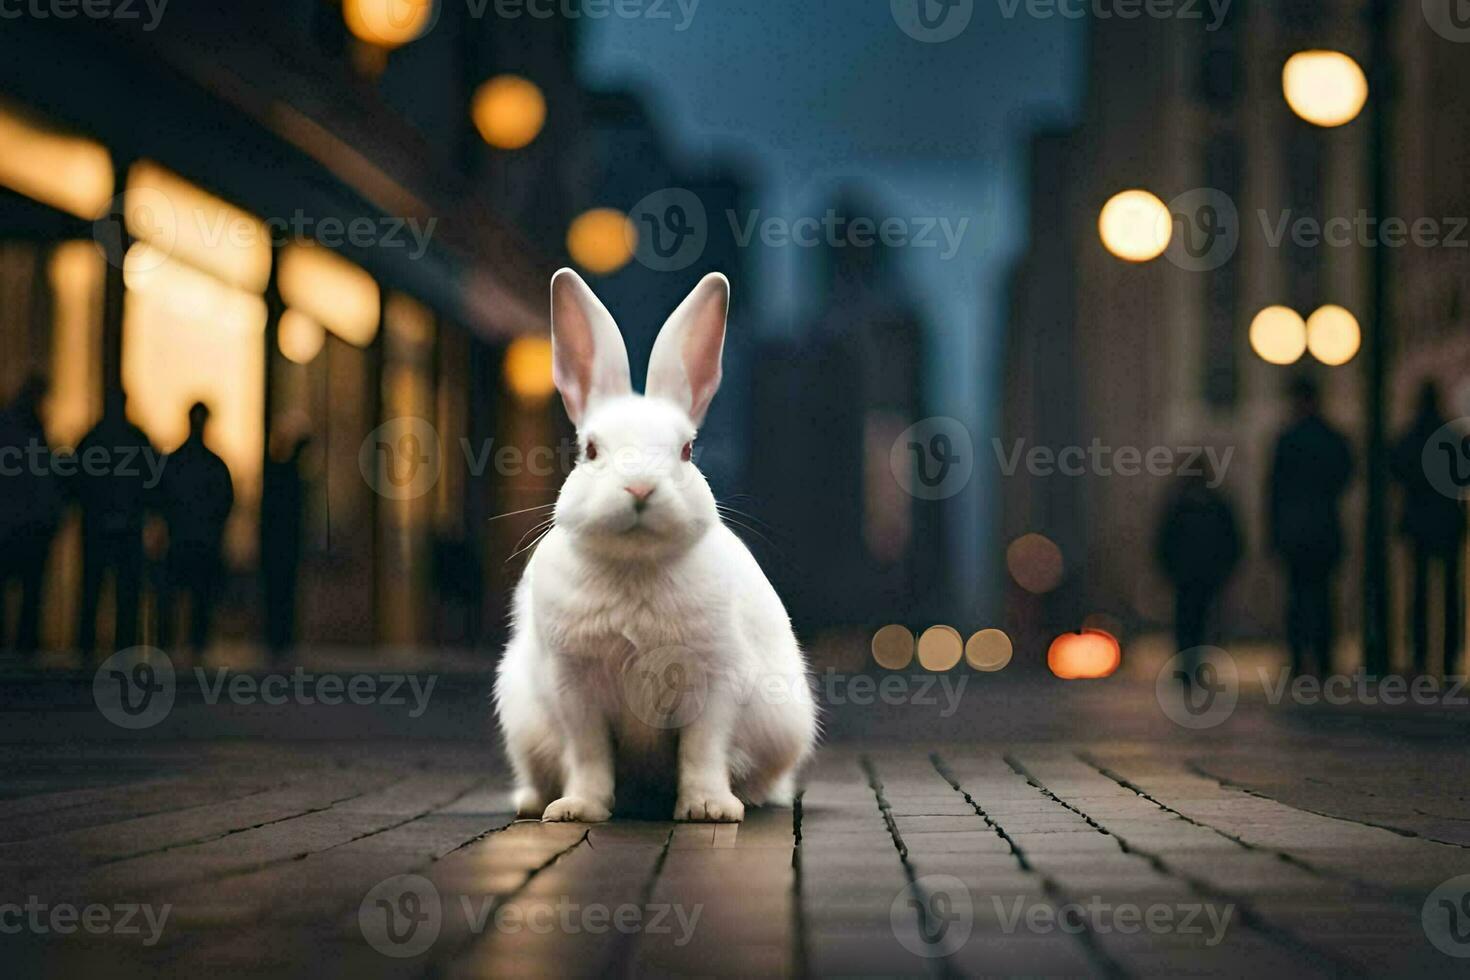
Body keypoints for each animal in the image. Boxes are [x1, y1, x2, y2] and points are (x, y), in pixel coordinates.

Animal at [493, 265, 817, 822]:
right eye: (590, 450)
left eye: (686, 451)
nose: (640, 487)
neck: (635, 563)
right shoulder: (573, 687)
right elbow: (589, 754)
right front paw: (577, 809)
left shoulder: (715, 680)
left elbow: (703, 750)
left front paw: (709, 809)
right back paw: (533, 802)